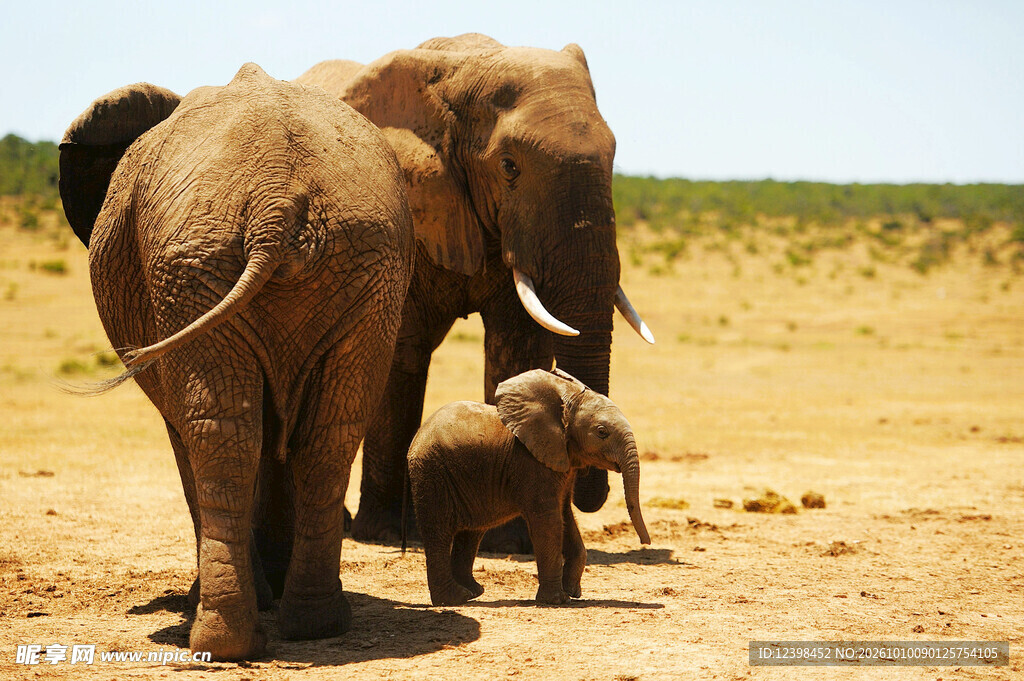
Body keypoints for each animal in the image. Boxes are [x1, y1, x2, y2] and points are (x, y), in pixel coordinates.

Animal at [58, 63, 414, 660]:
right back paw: (313, 624)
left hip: (196, 270)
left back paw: (226, 637)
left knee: (218, 431)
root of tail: (277, 201)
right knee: (327, 431)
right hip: (361, 269)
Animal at [295, 33, 655, 552]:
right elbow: (402, 351)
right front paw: (384, 533)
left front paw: (514, 543)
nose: (589, 495)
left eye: (612, 159)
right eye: (509, 167)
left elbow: (515, 346)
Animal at [407, 368, 650, 606]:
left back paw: (473, 592)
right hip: (433, 472)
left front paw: (572, 591)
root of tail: (419, 434)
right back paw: (455, 599)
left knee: (472, 532)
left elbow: (565, 515)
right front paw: (557, 600)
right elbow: (549, 521)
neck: (564, 402)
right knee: (439, 532)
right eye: (601, 432)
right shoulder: (531, 463)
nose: (645, 542)